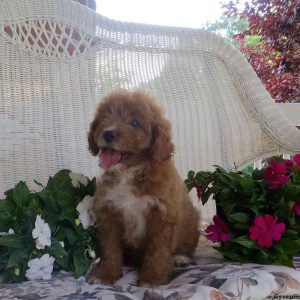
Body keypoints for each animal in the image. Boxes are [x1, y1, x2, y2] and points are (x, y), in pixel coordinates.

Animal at [86, 89, 199, 286]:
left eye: (135, 123)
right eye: (105, 117)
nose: (108, 134)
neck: (130, 171)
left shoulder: (163, 215)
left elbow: (158, 250)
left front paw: (152, 279)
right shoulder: (109, 213)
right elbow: (110, 248)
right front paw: (105, 274)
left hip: (193, 223)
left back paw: (181, 257)